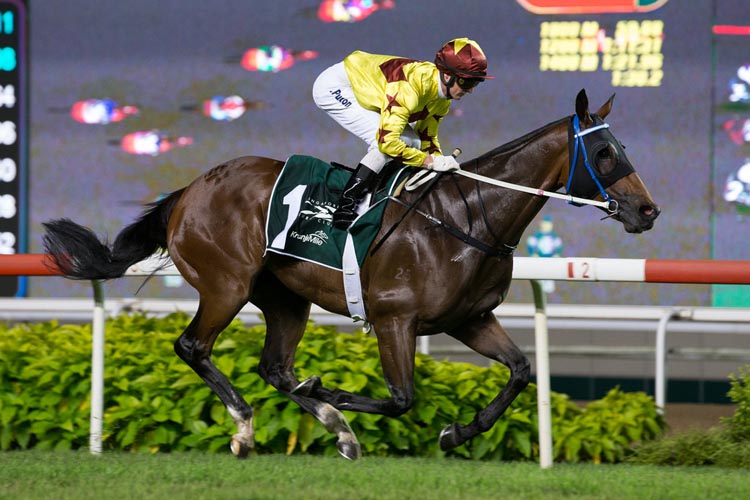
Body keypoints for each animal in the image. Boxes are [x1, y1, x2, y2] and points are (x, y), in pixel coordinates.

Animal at [44, 91, 660, 460]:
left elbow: (520, 372)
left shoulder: (470, 319)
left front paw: (457, 431)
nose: (647, 210)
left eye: (621, 146)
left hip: (285, 299)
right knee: (194, 347)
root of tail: (189, 191)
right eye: (605, 154)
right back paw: (246, 427)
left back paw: (332, 426)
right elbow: (401, 398)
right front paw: (330, 392)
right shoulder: (394, 319)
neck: (466, 217)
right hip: (226, 284)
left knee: (275, 367)